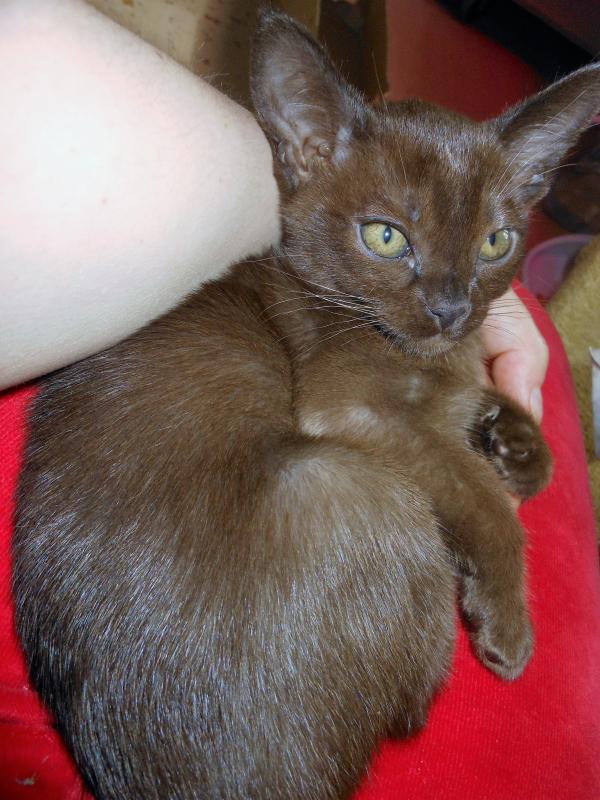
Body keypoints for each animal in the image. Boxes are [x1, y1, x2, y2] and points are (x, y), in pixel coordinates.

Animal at [13, 10, 600, 800]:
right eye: (386, 236)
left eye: (495, 242)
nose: (449, 310)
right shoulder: (349, 409)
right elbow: (481, 495)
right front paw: (507, 620)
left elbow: (484, 420)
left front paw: (518, 445)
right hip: (351, 482)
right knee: (412, 706)